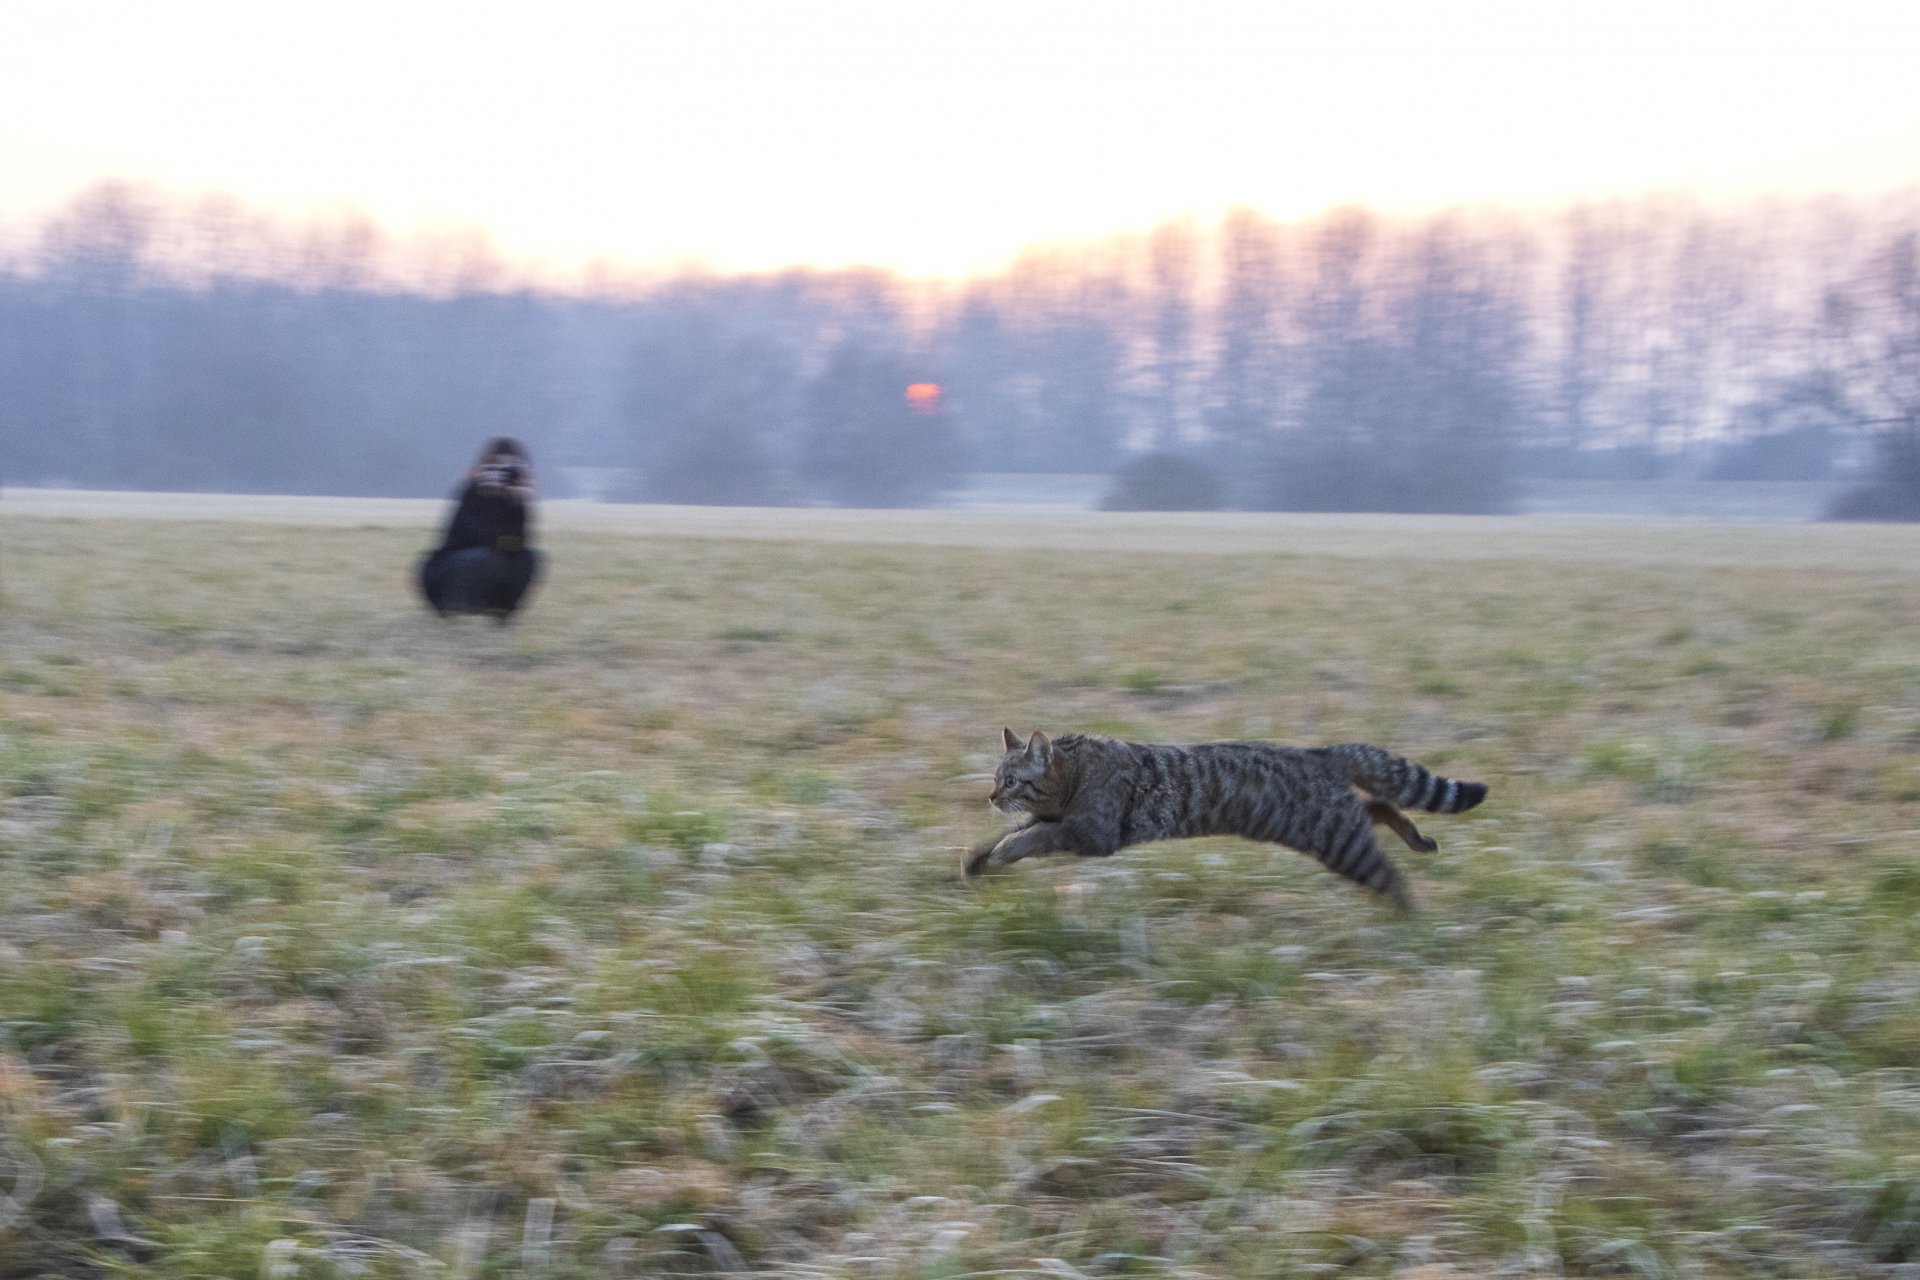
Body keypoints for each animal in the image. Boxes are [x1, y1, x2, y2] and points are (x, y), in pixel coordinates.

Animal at [967, 729, 1489, 909]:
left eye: (1011, 781)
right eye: (995, 777)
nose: (991, 795)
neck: (1073, 771)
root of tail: (1321, 753)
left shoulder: (1091, 833)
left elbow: (1030, 838)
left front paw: (1001, 853)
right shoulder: (1059, 822)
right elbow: (1014, 832)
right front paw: (976, 859)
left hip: (1339, 841)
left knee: (1391, 872)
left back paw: (1411, 916)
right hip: (1338, 825)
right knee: (1377, 806)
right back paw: (1417, 839)